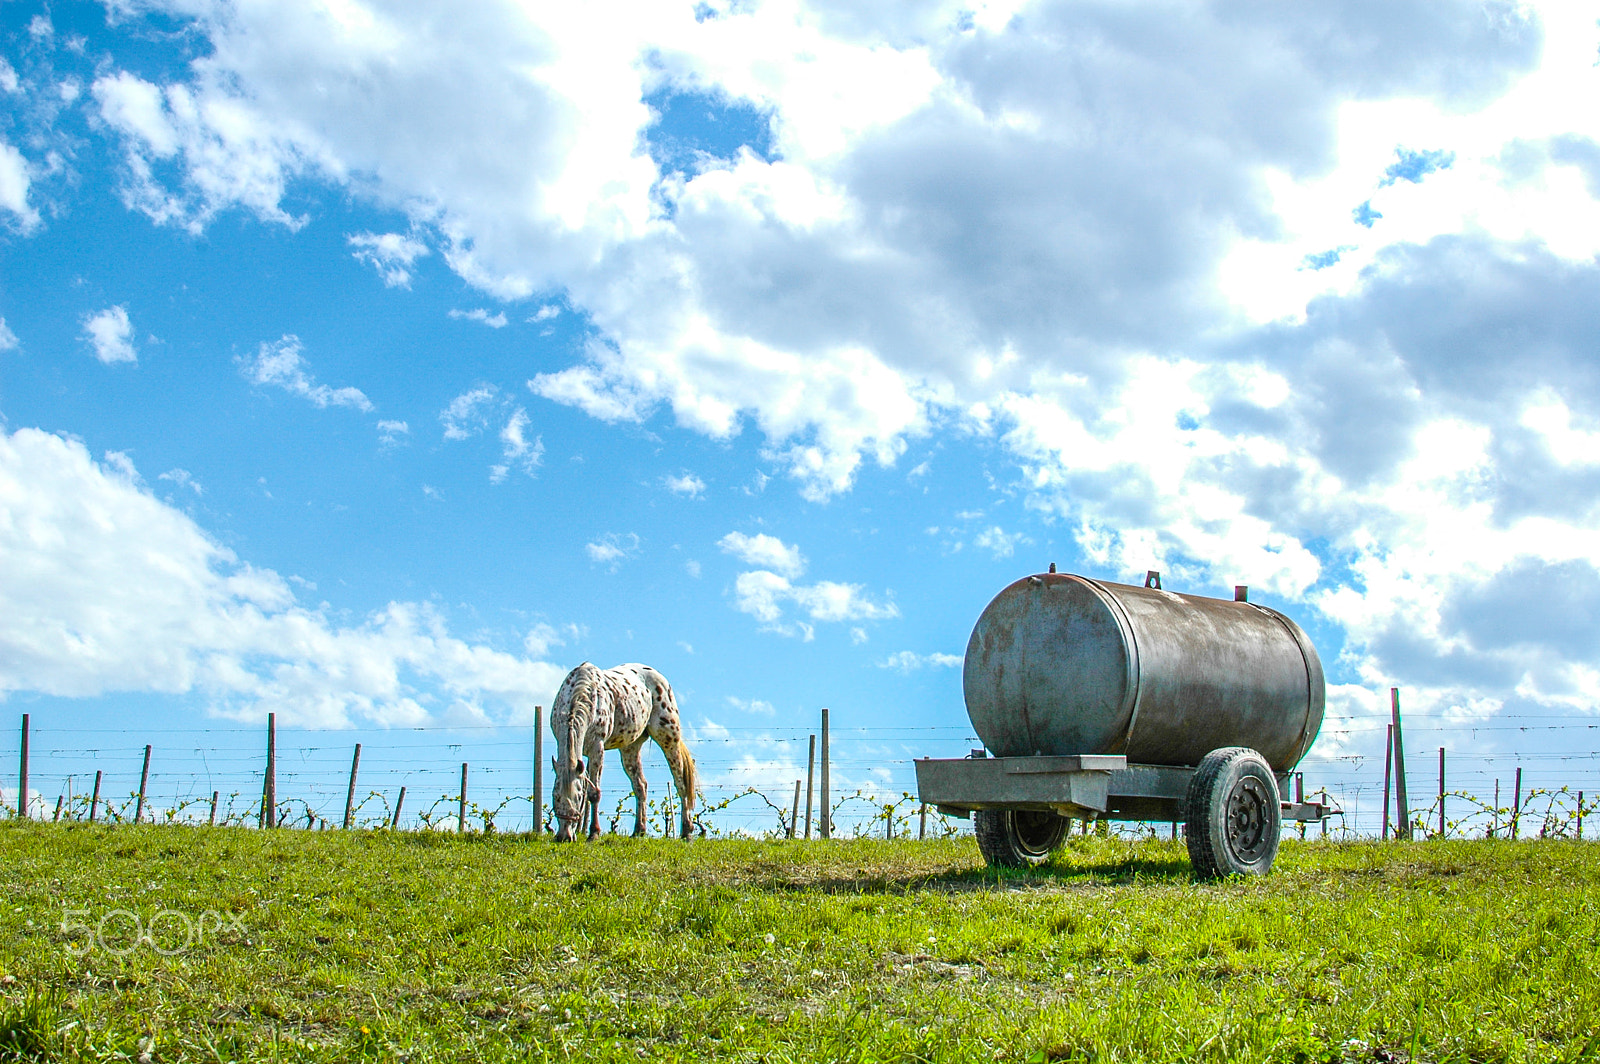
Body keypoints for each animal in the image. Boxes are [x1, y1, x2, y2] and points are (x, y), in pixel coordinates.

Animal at [550, 659, 694, 844]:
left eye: (577, 797)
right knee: (640, 785)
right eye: (555, 796)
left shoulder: (597, 748)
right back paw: (639, 831)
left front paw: (593, 833)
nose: (564, 837)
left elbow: (593, 793)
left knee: (680, 783)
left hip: (669, 739)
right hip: (630, 748)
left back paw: (687, 831)